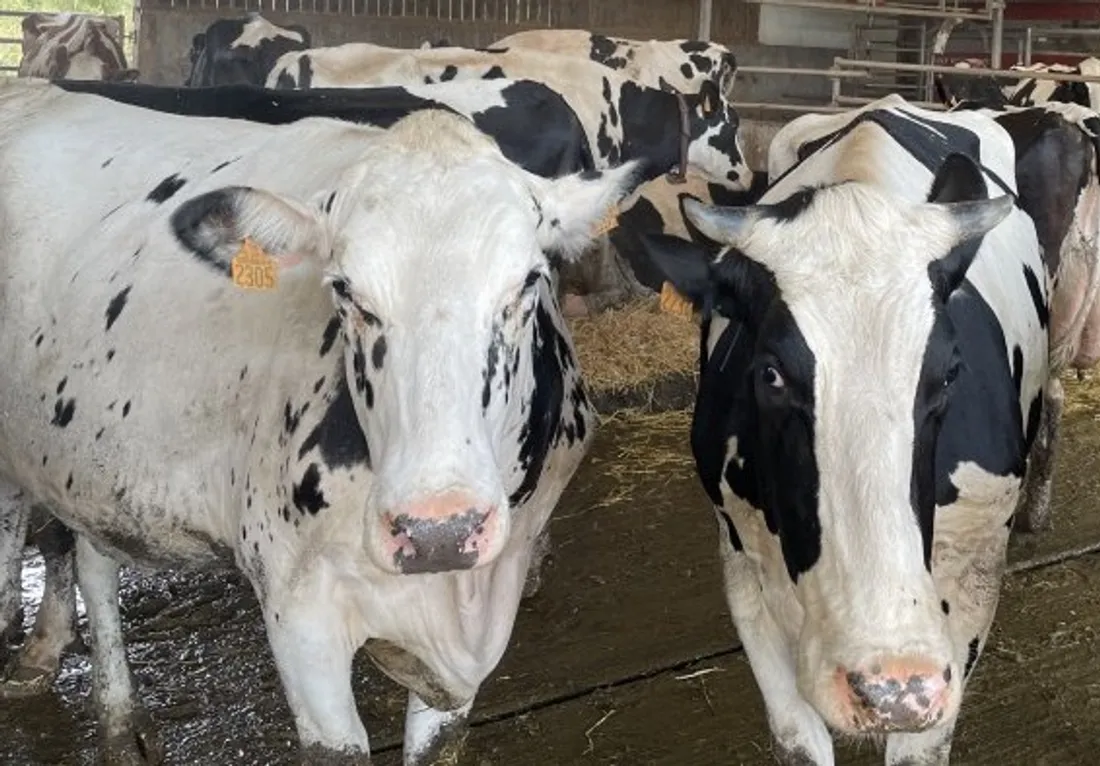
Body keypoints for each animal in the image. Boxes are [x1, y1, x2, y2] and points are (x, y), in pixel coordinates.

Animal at [0, 79, 638, 764]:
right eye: (346, 291)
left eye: (527, 282)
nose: (438, 528)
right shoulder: (299, 610)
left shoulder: (492, 595)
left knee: (92, 555)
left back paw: (116, 720)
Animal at [638, 94, 1048, 766]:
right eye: (770, 373)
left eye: (950, 372)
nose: (888, 688)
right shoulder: (743, 565)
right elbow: (798, 738)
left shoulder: (973, 577)